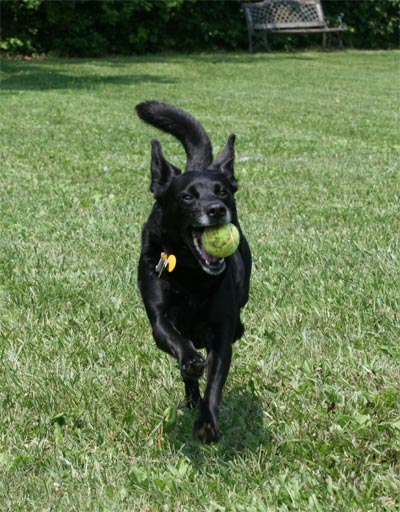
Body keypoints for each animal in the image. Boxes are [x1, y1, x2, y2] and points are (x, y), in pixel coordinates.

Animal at [136, 101, 252, 444]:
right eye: (187, 196)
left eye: (222, 192)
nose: (216, 209)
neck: (190, 273)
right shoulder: (160, 319)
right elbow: (175, 340)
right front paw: (190, 362)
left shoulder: (221, 334)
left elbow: (215, 380)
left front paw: (207, 423)